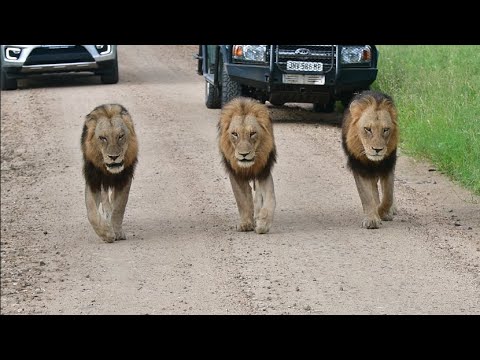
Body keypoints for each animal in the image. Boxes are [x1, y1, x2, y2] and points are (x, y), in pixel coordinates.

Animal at [81, 103, 139, 242]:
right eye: (103, 138)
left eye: (120, 136)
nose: (114, 157)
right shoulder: (93, 180)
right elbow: (91, 212)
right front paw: (106, 234)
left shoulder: (124, 179)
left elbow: (119, 208)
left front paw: (117, 232)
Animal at [218, 97, 278, 235]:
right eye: (235, 134)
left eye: (253, 133)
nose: (243, 154)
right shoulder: (235, 173)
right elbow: (241, 199)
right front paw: (246, 223)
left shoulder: (264, 171)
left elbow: (270, 198)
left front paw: (263, 224)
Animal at [340, 91, 400, 229]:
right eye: (368, 129)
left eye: (385, 129)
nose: (377, 149)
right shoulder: (360, 168)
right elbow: (367, 196)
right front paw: (372, 219)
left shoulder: (388, 165)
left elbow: (388, 194)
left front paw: (383, 212)